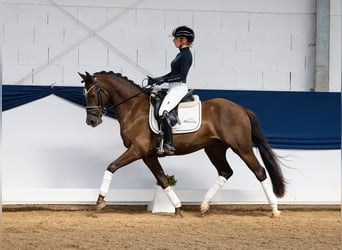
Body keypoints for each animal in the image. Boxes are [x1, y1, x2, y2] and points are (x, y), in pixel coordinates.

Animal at [79, 70, 284, 217]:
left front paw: (100, 201)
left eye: (92, 94)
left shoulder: (137, 150)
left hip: (242, 148)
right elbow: (162, 179)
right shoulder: (148, 155)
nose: (91, 121)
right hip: (214, 149)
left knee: (260, 172)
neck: (133, 108)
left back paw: (274, 210)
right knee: (226, 171)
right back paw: (204, 205)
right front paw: (177, 208)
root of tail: (241, 109)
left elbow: (111, 166)